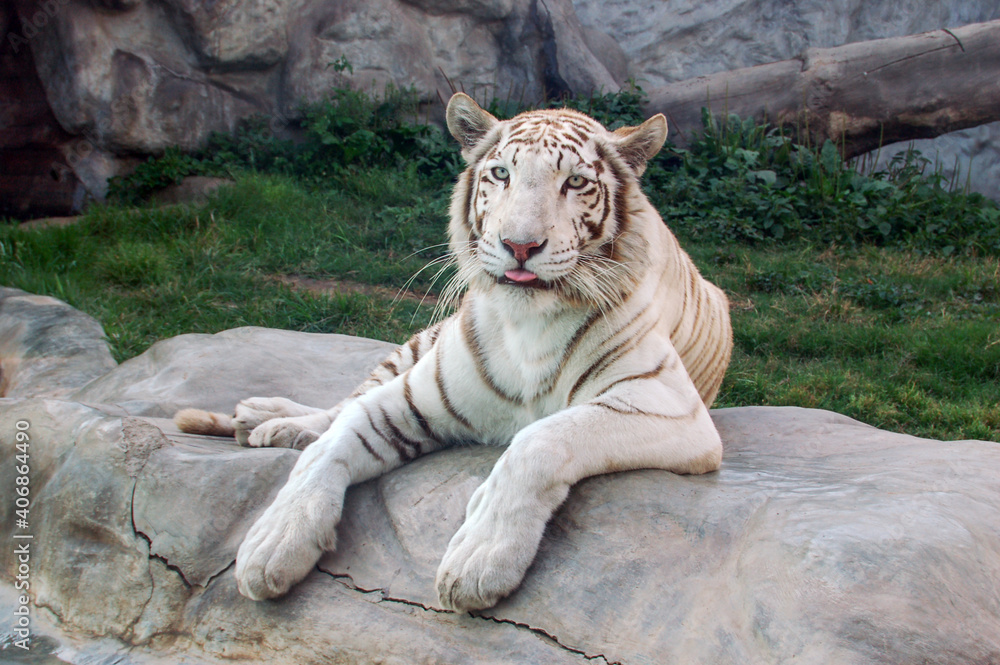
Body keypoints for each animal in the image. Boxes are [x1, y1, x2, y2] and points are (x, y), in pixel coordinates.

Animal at [174, 92, 733, 612]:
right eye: (502, 174)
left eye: (575, 183)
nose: (520, 246)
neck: (529, 322)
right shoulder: (416, 394)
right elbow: (334, 441)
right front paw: (272, 543)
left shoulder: (669, 405)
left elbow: (540, 438)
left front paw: (479, 557)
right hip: (419, 344)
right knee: (342, 404)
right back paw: (267, 419)